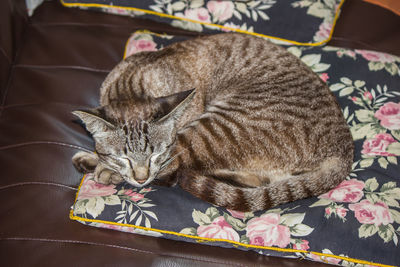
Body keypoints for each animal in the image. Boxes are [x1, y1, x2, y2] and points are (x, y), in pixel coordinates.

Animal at [72, 33, 354, 211]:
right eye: (124, 156)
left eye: (156, 154)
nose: (140, 178)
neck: (129, 88)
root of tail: (345, 150)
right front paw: (101, 161)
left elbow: (160, 169)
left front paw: (102, 166)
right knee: (259, 182)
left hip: (214, 128)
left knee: (178, 170)